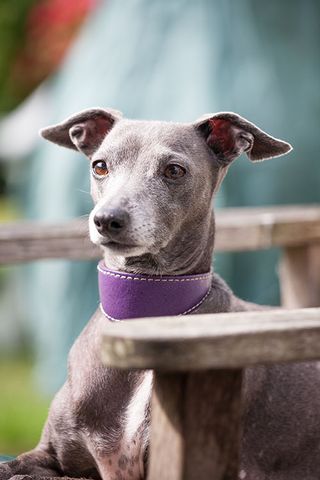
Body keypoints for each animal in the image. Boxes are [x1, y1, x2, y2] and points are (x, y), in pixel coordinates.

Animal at [2, 109, 320, 480]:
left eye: (174, 170)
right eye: (100, 166)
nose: (107, 219)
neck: (141, 315)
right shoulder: (51, 454)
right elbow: (14, 467)